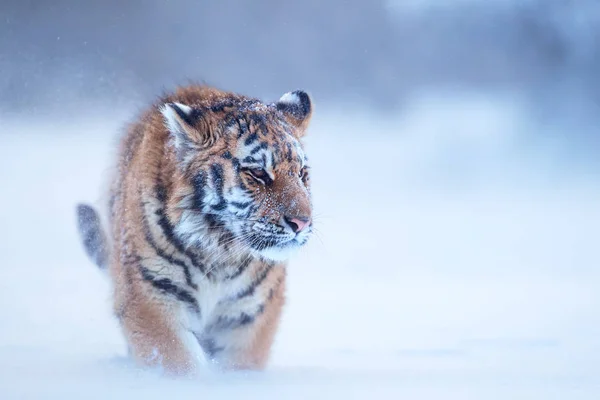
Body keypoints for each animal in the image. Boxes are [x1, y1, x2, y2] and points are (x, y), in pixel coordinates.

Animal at [76, 83, 314, 376]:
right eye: (258, 173)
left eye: (302, 173)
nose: (302, 222)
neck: (220, 252)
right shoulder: (152, 296)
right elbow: (178, 362)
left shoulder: (249, 312)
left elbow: (240, 363)